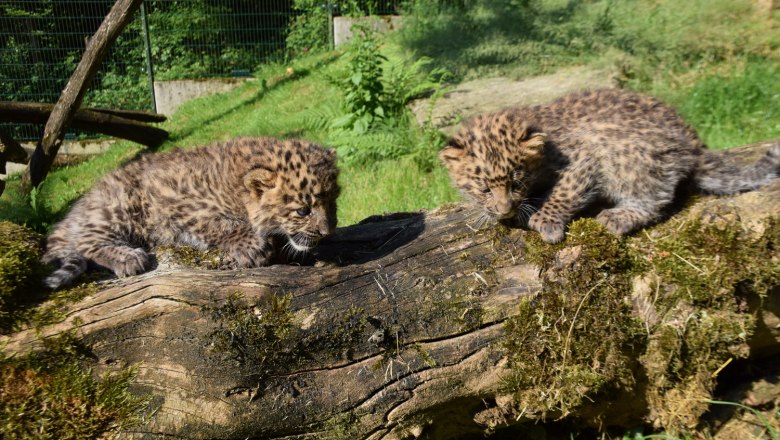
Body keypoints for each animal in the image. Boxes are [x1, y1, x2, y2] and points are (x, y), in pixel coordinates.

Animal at [43, 136, 340, 289]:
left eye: (333, 201)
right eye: (303, 210)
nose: (328, 232)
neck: (234, 187)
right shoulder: (182, 204)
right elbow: (219, 224)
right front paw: (250, 246)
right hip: (117, 206)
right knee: (87, 242)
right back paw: (128, 258)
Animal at [440, 88, 780, 243]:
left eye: (517, 181)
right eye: (484, 188)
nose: (505, 209)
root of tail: (694, 145)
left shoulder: (583, 159)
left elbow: (562, 193)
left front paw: (545, 221)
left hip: (632, 159)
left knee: (656, 198)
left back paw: (618, 217)